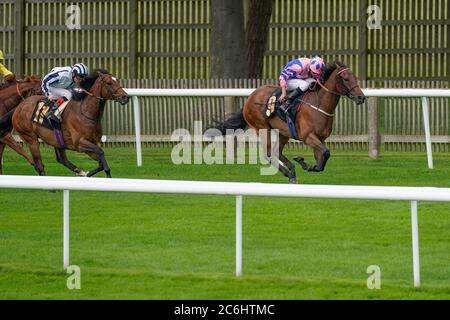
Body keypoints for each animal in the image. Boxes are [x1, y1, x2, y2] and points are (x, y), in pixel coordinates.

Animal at [0, 69, 128, 178]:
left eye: (116, 80)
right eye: (108, 83)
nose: (125, 97)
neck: (86, 112)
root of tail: (18, 107)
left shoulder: (90, 144)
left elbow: (100, 162)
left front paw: (86, 174)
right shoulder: (79, 143)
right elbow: (101, 153)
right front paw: (108, 175)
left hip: (56, 139)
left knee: (61, 159)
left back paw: (80, 172)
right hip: (30, 138)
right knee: (39, 165)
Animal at [214, 61, 366, 184]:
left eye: (354, 77)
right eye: (346, 79)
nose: (361, 97)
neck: (318, 104)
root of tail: (250, 98)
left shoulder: (320, 138)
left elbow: (322, 160)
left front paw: (306, 164)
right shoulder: (308, 137)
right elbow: (326, 152)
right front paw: (303, 163)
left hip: (284, 132)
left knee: (277, 151)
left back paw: (292, 171)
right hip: (262, 128)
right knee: (267, 153)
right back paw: (288, 173)